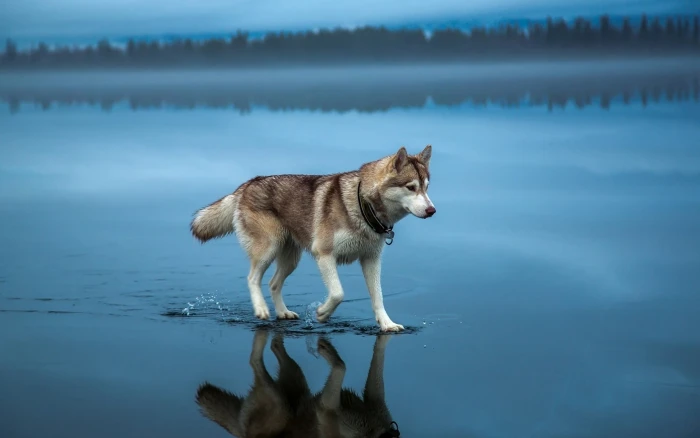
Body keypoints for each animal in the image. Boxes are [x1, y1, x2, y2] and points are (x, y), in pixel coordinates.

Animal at [190, 145, 435, 332]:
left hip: (291, 259)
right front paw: (322, 313)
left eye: (426, 188)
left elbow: (378, 297)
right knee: (252, 278)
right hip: (268, 249)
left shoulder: (371, 260)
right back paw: (261, 309)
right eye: (411, 187)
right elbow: (338, 293)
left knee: (273, 283)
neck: (362, 206)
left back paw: (283, 313)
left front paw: (387, 324)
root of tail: (247, 184)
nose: (432, 210)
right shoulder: (324, 254)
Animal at [195, 329, 400, 438]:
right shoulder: (326, 408)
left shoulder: (374, 398)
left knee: (274, 346)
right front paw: (327, 351)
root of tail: (242, 433)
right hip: (280, 404)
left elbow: (378, 352)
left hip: (295, 380)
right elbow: (341, 365)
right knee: (254, 360)